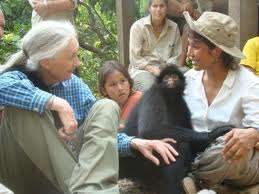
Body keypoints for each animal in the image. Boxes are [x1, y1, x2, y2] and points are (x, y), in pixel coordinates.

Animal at [121, 65, 233, 194]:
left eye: (174, 76)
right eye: (166, 77)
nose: (170, 80)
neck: (169, 98)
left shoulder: (181, 103)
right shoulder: (154, 94)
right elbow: (150, 129)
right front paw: (214, 133)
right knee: (176, 144)